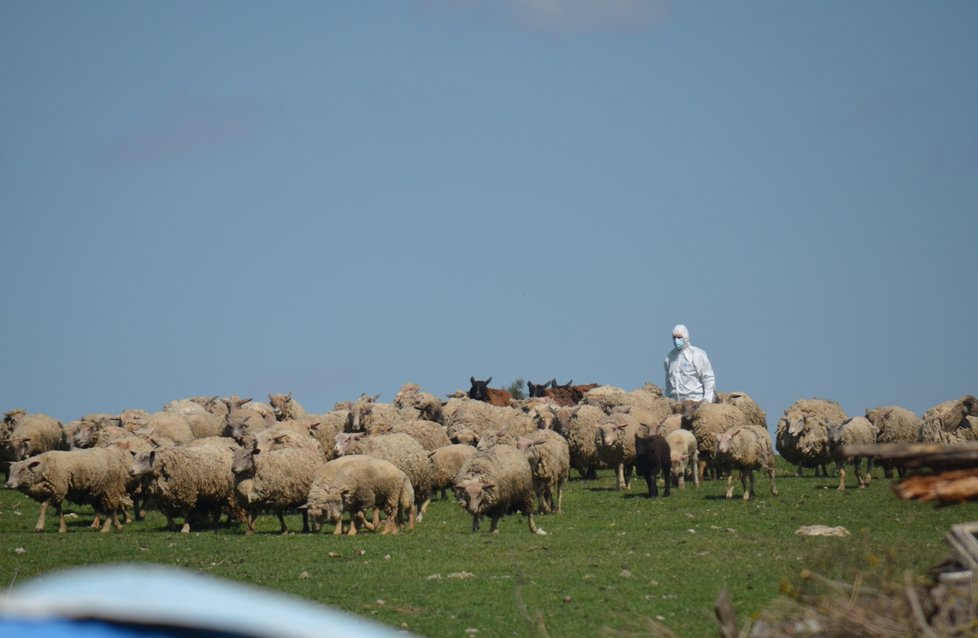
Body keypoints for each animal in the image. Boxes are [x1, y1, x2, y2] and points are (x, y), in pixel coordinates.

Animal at [5, 450, 133, 536]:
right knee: (111, 509)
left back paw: (105, 529)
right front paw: (62, 529)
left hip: (109, 488)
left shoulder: (58, 489)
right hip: (99, 492)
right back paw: (118, 526)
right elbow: (59, 510)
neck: (44, 468)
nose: (8, 485)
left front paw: (39, 527)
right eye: (10, 471)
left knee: (111, 509)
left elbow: (44, 505)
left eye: (22, 470)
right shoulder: (56, 492)